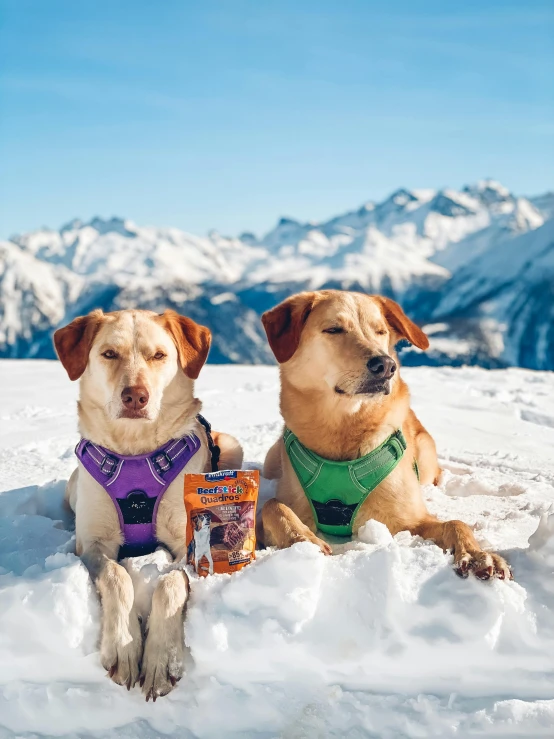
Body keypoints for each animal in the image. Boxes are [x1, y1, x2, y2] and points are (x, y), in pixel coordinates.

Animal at [54, 310, 242, 704]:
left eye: (159, 355)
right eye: (109, 353)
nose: (135, 396)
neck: (136, 451)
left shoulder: (187, 542)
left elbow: (170, 582)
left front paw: (160, 660)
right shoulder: (93, 543)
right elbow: (117, 575)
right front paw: (124, 648)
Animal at [258, 292, 508, 580]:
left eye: (380, 331)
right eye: (334, 329)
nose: (386, 365)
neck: (344, 431)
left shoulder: (411, 520)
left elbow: (456, 523)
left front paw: (477, 555)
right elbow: (272, 506)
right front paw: (302, 539)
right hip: (272, 458)